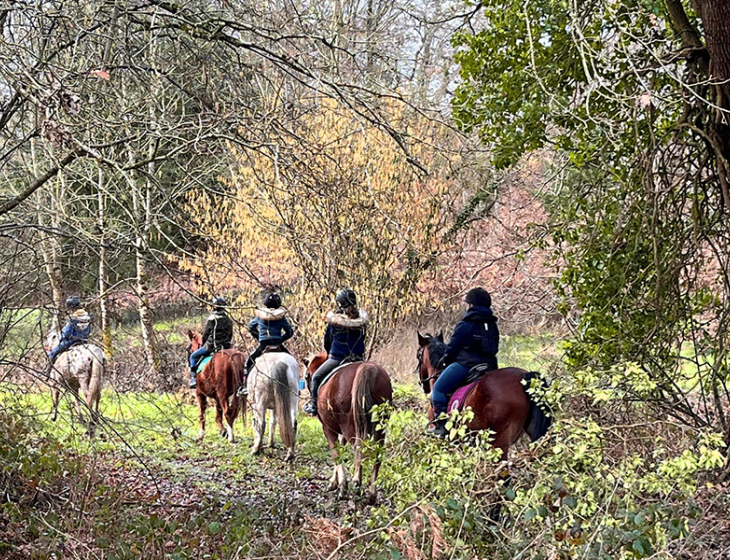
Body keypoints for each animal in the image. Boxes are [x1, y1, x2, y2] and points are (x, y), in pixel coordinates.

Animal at [302, 350, 390, 504]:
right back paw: (372, 494)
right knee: (377, 456)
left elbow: (336, 454)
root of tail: (368, 369)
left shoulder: (328, 429)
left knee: (358, 449)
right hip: (380, 427)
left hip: (351, 428)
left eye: (307, 376)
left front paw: (341, 485)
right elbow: (341, 449)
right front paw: (335, 481)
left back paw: (356, 482)